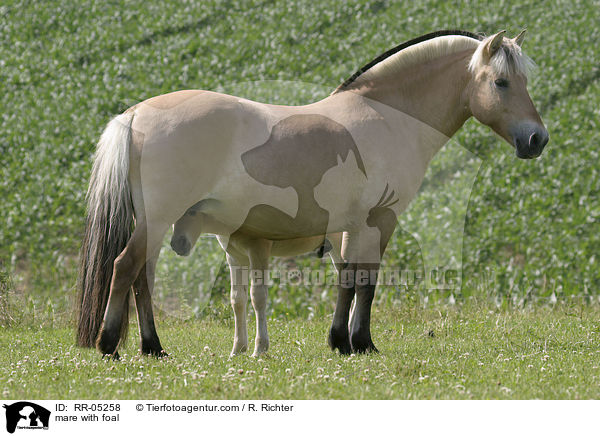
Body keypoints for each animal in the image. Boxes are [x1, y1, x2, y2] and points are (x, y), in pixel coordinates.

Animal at [78, 29, 548, 358]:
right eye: (502, 82)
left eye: (524, 80)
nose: (537, 139)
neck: (389, 117)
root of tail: (134, 114)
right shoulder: (380, 219)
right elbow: (366, 280)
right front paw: (362, 342)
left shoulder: (346, 225)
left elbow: (347, 279)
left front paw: (339, 341)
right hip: (158, 221)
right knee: (126, 268)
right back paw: (111, 344)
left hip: (153, 224)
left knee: (141, 278)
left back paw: (152, 347)